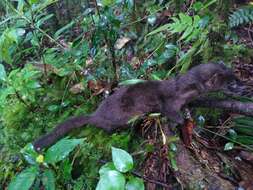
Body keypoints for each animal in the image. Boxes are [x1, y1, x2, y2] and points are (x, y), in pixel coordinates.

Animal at [33, 63, 239, 151]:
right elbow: (170, 112)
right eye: (231, 83)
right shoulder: (169, 102)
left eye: (235, 75)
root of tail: (96, 113)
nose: (243, 85)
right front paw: (182, 120)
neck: (182, 89)